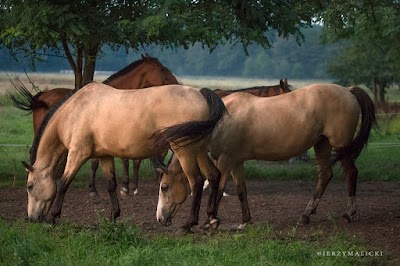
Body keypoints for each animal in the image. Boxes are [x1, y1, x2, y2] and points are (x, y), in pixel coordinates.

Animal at [23, 83, 227, 231]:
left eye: (30, 186)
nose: (31, 218)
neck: (76, 110)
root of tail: (200, 93)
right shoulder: (105, 156)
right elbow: (111, 185)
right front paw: (113, 216)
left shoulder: (77, 154)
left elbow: (63, 184)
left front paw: (53, 217)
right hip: (199, 151)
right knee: (213, 175)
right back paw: (211, 219)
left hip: (185, 152)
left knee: (197, 181)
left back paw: (189, 224)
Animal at [155, 84, 376, 230]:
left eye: (164, 187)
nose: (160, 218)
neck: (218, 120)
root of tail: (348, 90)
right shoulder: (236, 162)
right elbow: (241, 190)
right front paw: (244, 221)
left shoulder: (225, 161)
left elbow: (218, 190)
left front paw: (211, 221)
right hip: (322, 144)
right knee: (325, 175)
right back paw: (305, 215)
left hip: (341, 146)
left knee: (351, 173)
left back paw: (348, 213)